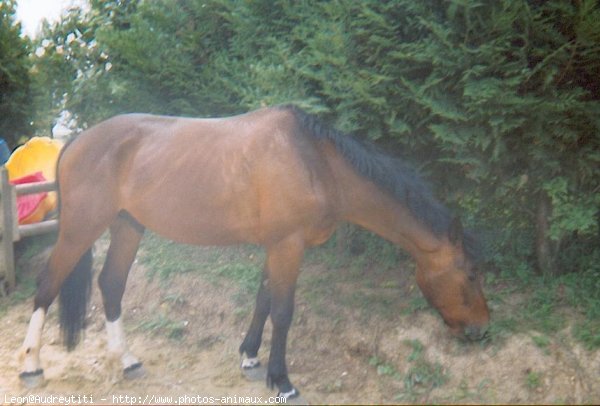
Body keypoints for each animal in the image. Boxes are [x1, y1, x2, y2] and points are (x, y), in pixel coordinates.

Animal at [18, 105, 490, 400]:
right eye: (469, 273)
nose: (482, 330)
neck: (316, 164)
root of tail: (75, 141)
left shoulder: (276, 246)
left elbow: (263, 299)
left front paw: (249, 356)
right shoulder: (288, 246)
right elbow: (282, 310)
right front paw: (282, 380)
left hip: (127, 225)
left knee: (111, 284)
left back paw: (128, 360)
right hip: (81, 229)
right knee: (46, 284)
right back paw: (31, 365)